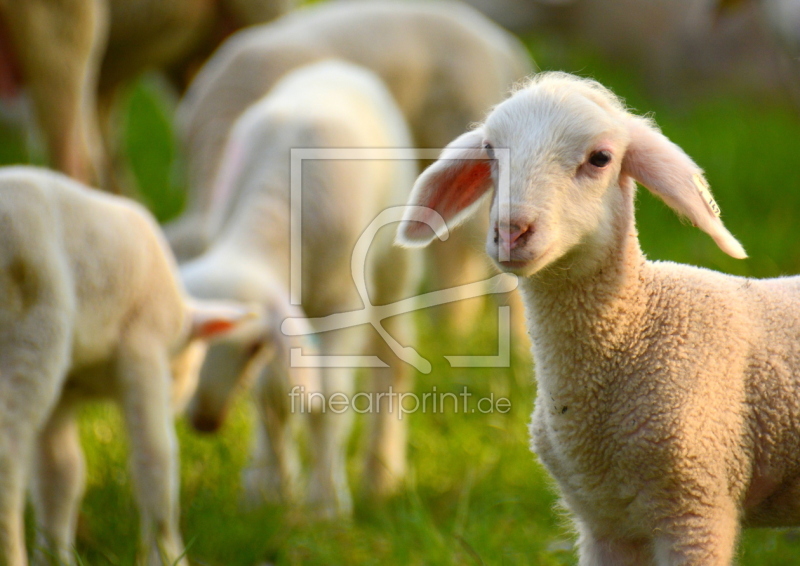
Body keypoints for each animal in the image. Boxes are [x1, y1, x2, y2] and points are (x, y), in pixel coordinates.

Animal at [0, 166, 253, 564]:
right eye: (182, 372)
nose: (178, 402)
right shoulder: (144, 345)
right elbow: (156, 457)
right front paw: (168, 552)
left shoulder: (65, 393)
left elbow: (62, 474)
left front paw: (57, 555)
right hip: (34, 325)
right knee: (8, 451)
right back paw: (10, 553)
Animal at [180, 61, 418, 520]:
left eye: (250, 346)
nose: (203, 423)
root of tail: (338, 66)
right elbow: (273, 397)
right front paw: (270, 491)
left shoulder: (340, 305)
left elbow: (329, 401)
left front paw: (326, 504)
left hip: (393, 267)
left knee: (392, 359)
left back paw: (381, 474)